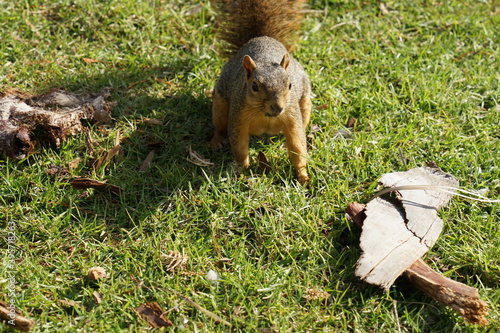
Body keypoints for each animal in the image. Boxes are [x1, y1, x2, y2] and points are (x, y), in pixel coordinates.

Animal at [208, 0, 310, 184]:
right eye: (254, 86)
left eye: (290, 85)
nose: (278, 107)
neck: (265, 114)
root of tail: (262, 37)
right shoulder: (238, 115)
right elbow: (239, 145)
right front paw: (242, 169)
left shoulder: (291, 114)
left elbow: (297, 144)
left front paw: (303, 175)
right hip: (219, 105)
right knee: (219, 126)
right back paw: (216, 140)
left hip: (305, 103)